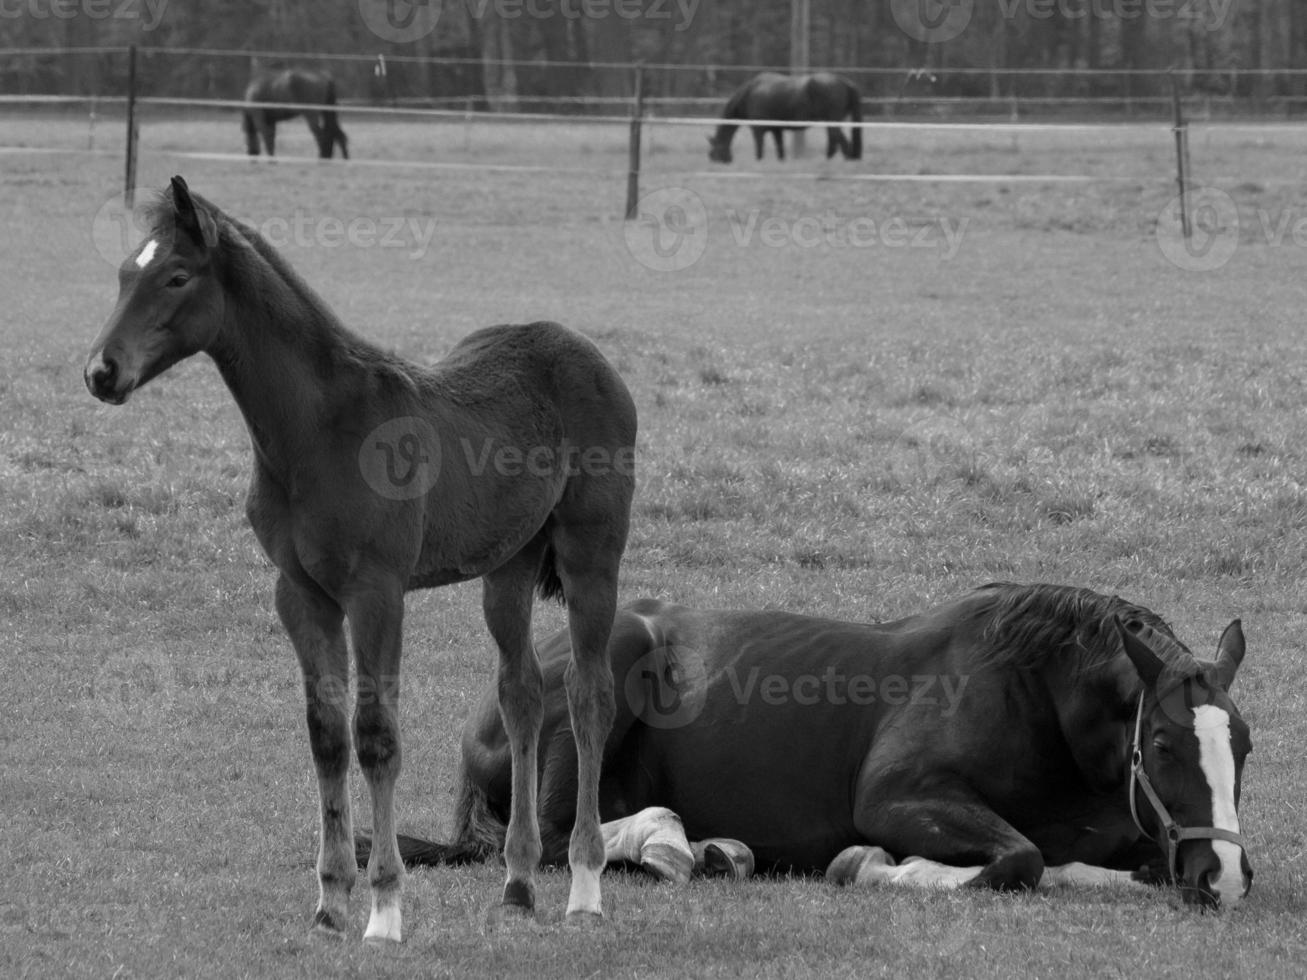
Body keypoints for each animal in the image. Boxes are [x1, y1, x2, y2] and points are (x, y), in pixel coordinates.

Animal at [84, 176, 635, 946]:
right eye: (122, 274)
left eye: (176, 277)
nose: (101, 372)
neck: (318, 431)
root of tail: (585, 352)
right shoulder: (301, 594)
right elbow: (326, 736)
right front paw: (328, 903)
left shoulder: (377, 593)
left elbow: (375, 737)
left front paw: (383, 911)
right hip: (510, 566)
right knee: (522, 694)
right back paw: (518, 885)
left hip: (591, 556)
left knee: (588, 697)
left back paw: (584, 887)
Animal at [365, 582, 1254, 914]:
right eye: (1163, 742)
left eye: (1241, 745)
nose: (1225, 876)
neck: (1030, 694)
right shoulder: (897, 798)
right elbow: (1020, 859)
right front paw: (884, 867)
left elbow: (1107, 861)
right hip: (600, 674)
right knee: (553, 840)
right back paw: (674, 844)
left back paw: (709, 848)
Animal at [711, 71, 862, 163]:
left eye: (714, 149)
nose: (713, 159)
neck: (749, 94)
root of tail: (844, 82)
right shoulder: (777, 130)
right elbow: (780, 151)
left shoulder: (758, 130)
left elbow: (759, 152)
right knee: (834, 143)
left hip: (832, 122)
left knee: (843, 144)